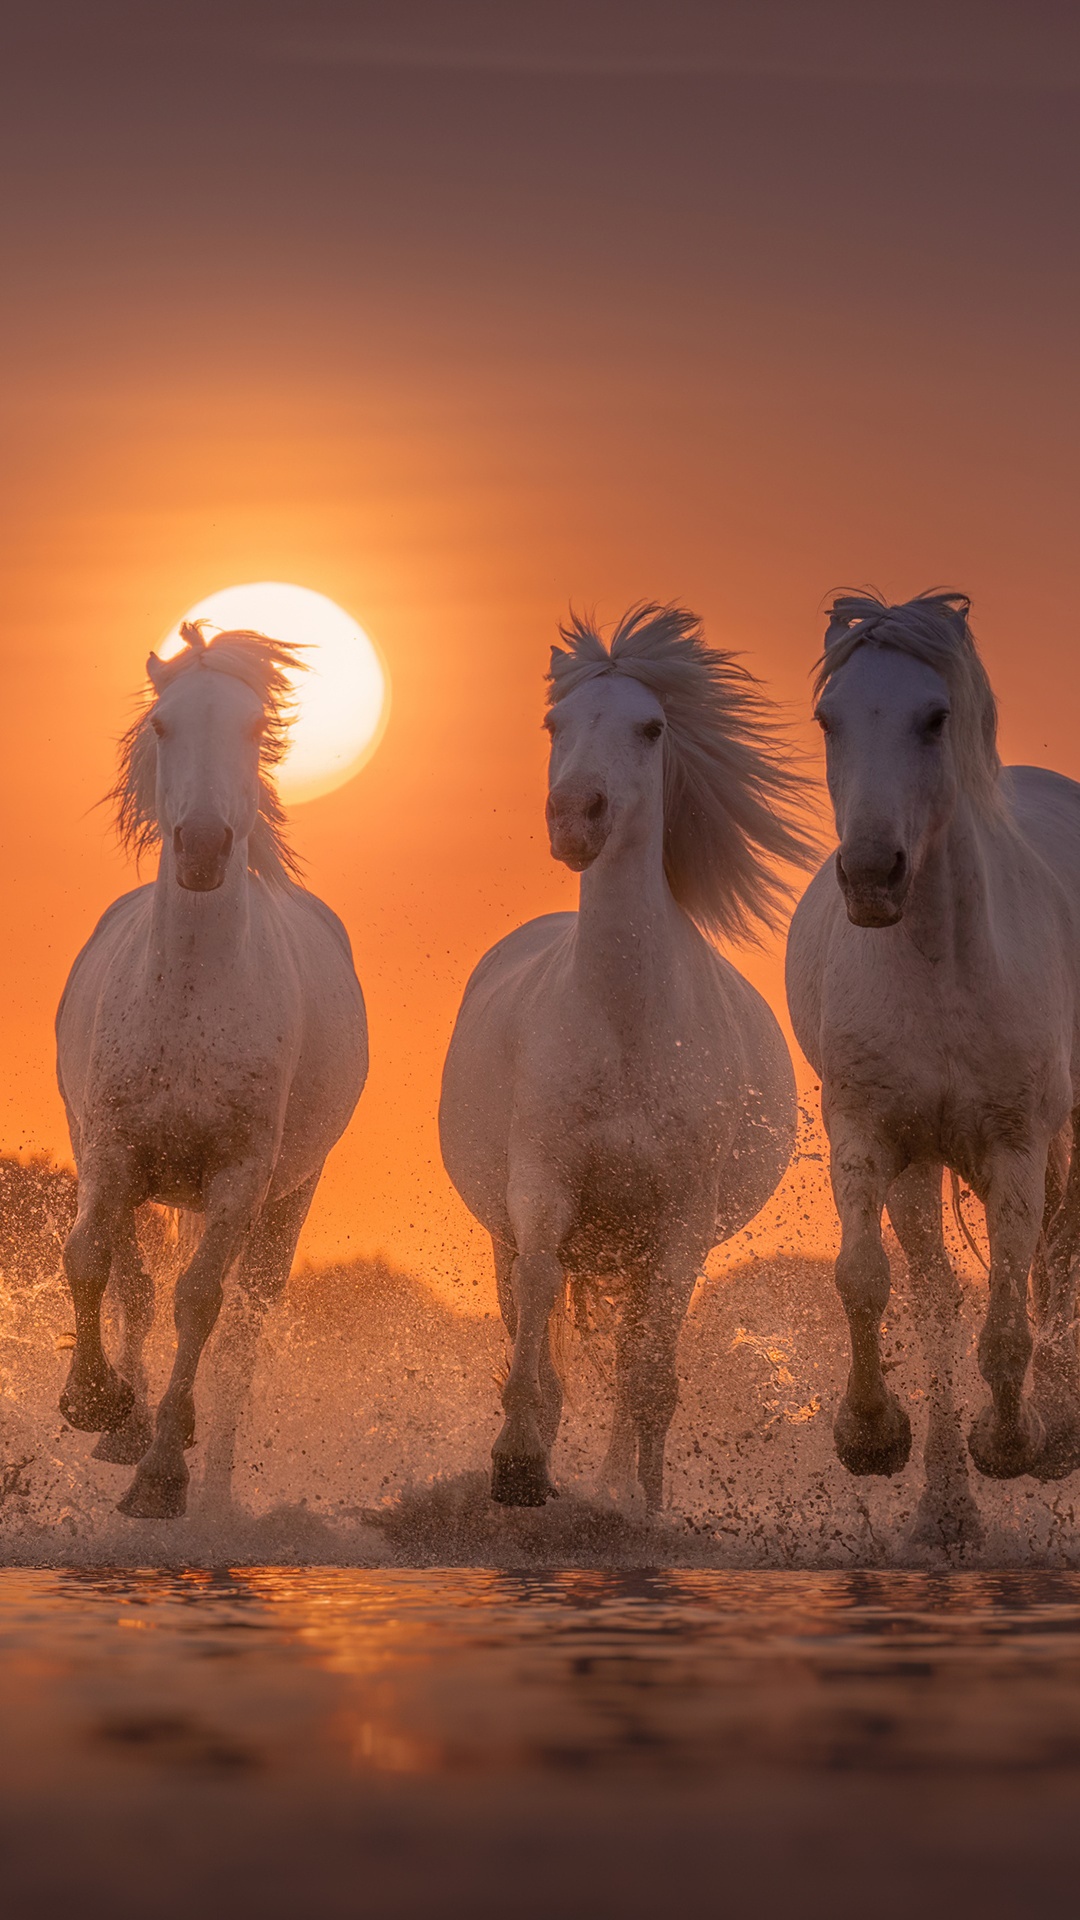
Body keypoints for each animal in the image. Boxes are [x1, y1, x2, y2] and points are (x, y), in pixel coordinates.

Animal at [56, 622, 368, 1519]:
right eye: (164, 726)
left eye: (254, 728)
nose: (200, 848)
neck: (193, 991)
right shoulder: (111, 1152)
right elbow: (94, 1262)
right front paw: (96, 1404)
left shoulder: (240, 1176)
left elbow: (198, 1302)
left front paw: (164, 1477)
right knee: (132, 1280)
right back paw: (126, 1423)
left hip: (286, 1200)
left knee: (240, 1339)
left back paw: (213, 1478)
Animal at [439, 604, 816, 1511]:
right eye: (554, 723)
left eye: (651, 728)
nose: (576, 816)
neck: (626, 1028)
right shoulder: (542, 1186)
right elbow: (538, 1315)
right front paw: (517, 1463)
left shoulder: (678, 1223)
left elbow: (647, 1373)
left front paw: (642, 1505)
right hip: (522, 1233)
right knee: (536, 1312)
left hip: (636, 1250)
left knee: (629, 1351)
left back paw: (615, 1485)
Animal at [786, 590, 1080, 1547]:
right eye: (829, 718)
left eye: (935, 716)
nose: (873, 876)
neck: (939, 966)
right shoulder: (869, 1137)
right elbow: (865, 1282)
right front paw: (871, 1437)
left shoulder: (1018, 1149)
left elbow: (1011, 1316)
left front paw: (1013, 1441)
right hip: (920, 1166)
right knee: (937, 1299)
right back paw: (946, 1513)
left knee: (1047, 1268)